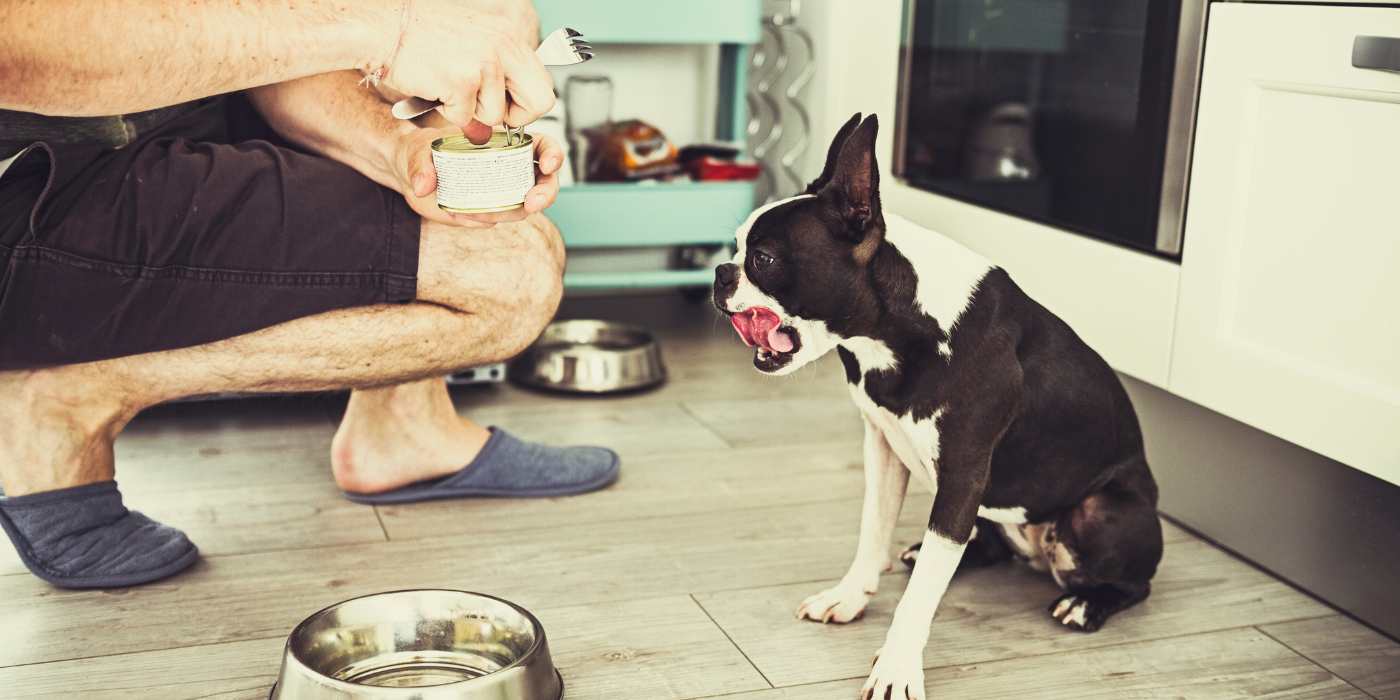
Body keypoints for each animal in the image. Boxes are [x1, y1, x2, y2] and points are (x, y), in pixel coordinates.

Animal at [716, 112, 1164, 697]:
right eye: (735, 246)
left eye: (763, 259)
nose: (721, 273)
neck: (898, 327)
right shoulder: (883, 449)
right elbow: (873, 530)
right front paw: (850, 596)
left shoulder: (962, 477)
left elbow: (921, 597)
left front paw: (896, 668)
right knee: (976, 544)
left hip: (1100, 511)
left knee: (1137, 584)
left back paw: (1087, 603)